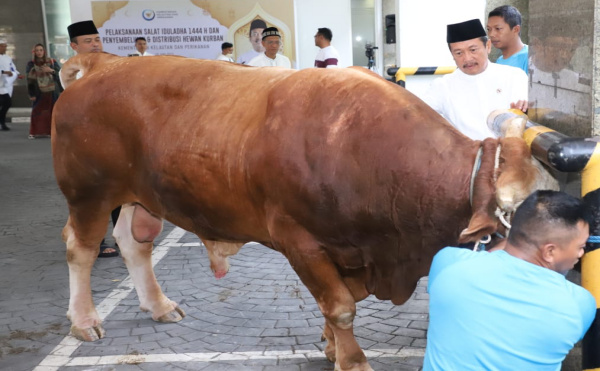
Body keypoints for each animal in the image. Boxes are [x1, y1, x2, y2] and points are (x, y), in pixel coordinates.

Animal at [54, 53, 556, 371]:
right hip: (88, 192)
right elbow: (340, 307)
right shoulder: (300, 242)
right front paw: (351, 360)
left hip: (139, 196)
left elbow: (338, 304)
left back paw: (158, 305)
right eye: (513, 218)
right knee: (80, 249)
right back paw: (84, 321)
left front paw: (331, 348)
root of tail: (102, 62)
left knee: (133, 242)